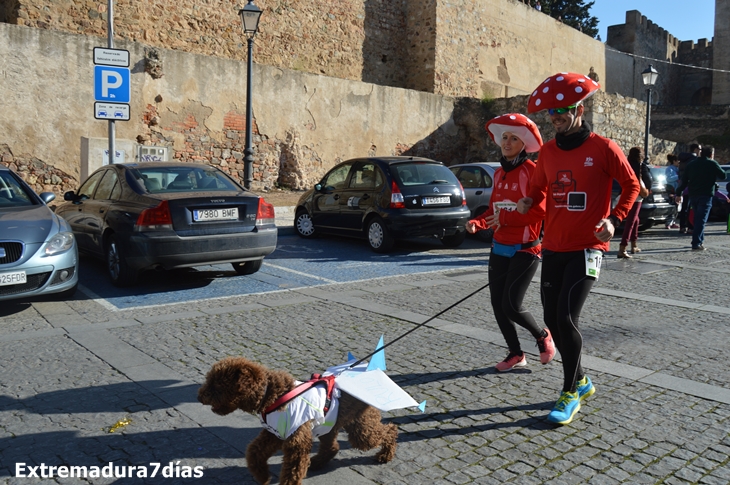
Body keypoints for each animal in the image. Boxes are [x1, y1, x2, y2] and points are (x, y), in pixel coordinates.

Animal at [198, 356, 398, 484]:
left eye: (217, 384)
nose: (199, 396)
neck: (273, 395)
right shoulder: (274, 433)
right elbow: (253, 452)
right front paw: (263, 476)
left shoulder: (296, 441)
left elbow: (292, 472)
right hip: (329, 424)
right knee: (332, 446)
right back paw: (317, 463)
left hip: (360, 430)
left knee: (390, 430)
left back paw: (386, 454)